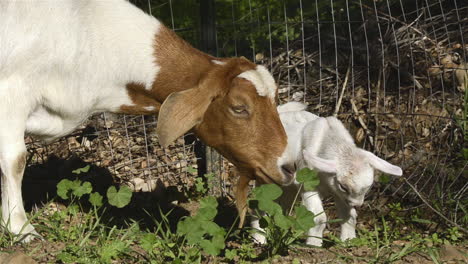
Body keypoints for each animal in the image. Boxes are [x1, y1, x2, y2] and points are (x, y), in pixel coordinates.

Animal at [252, 102, 402, 246]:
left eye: (369, 187)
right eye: (343, 186)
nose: (358, 204)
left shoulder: (338, 193)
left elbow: (350, 216)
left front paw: (348, 241)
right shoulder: (308, 185)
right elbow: (319, 218)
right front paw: (314, 244)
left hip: (288, 187)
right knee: (259, 202)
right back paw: (259, 239)